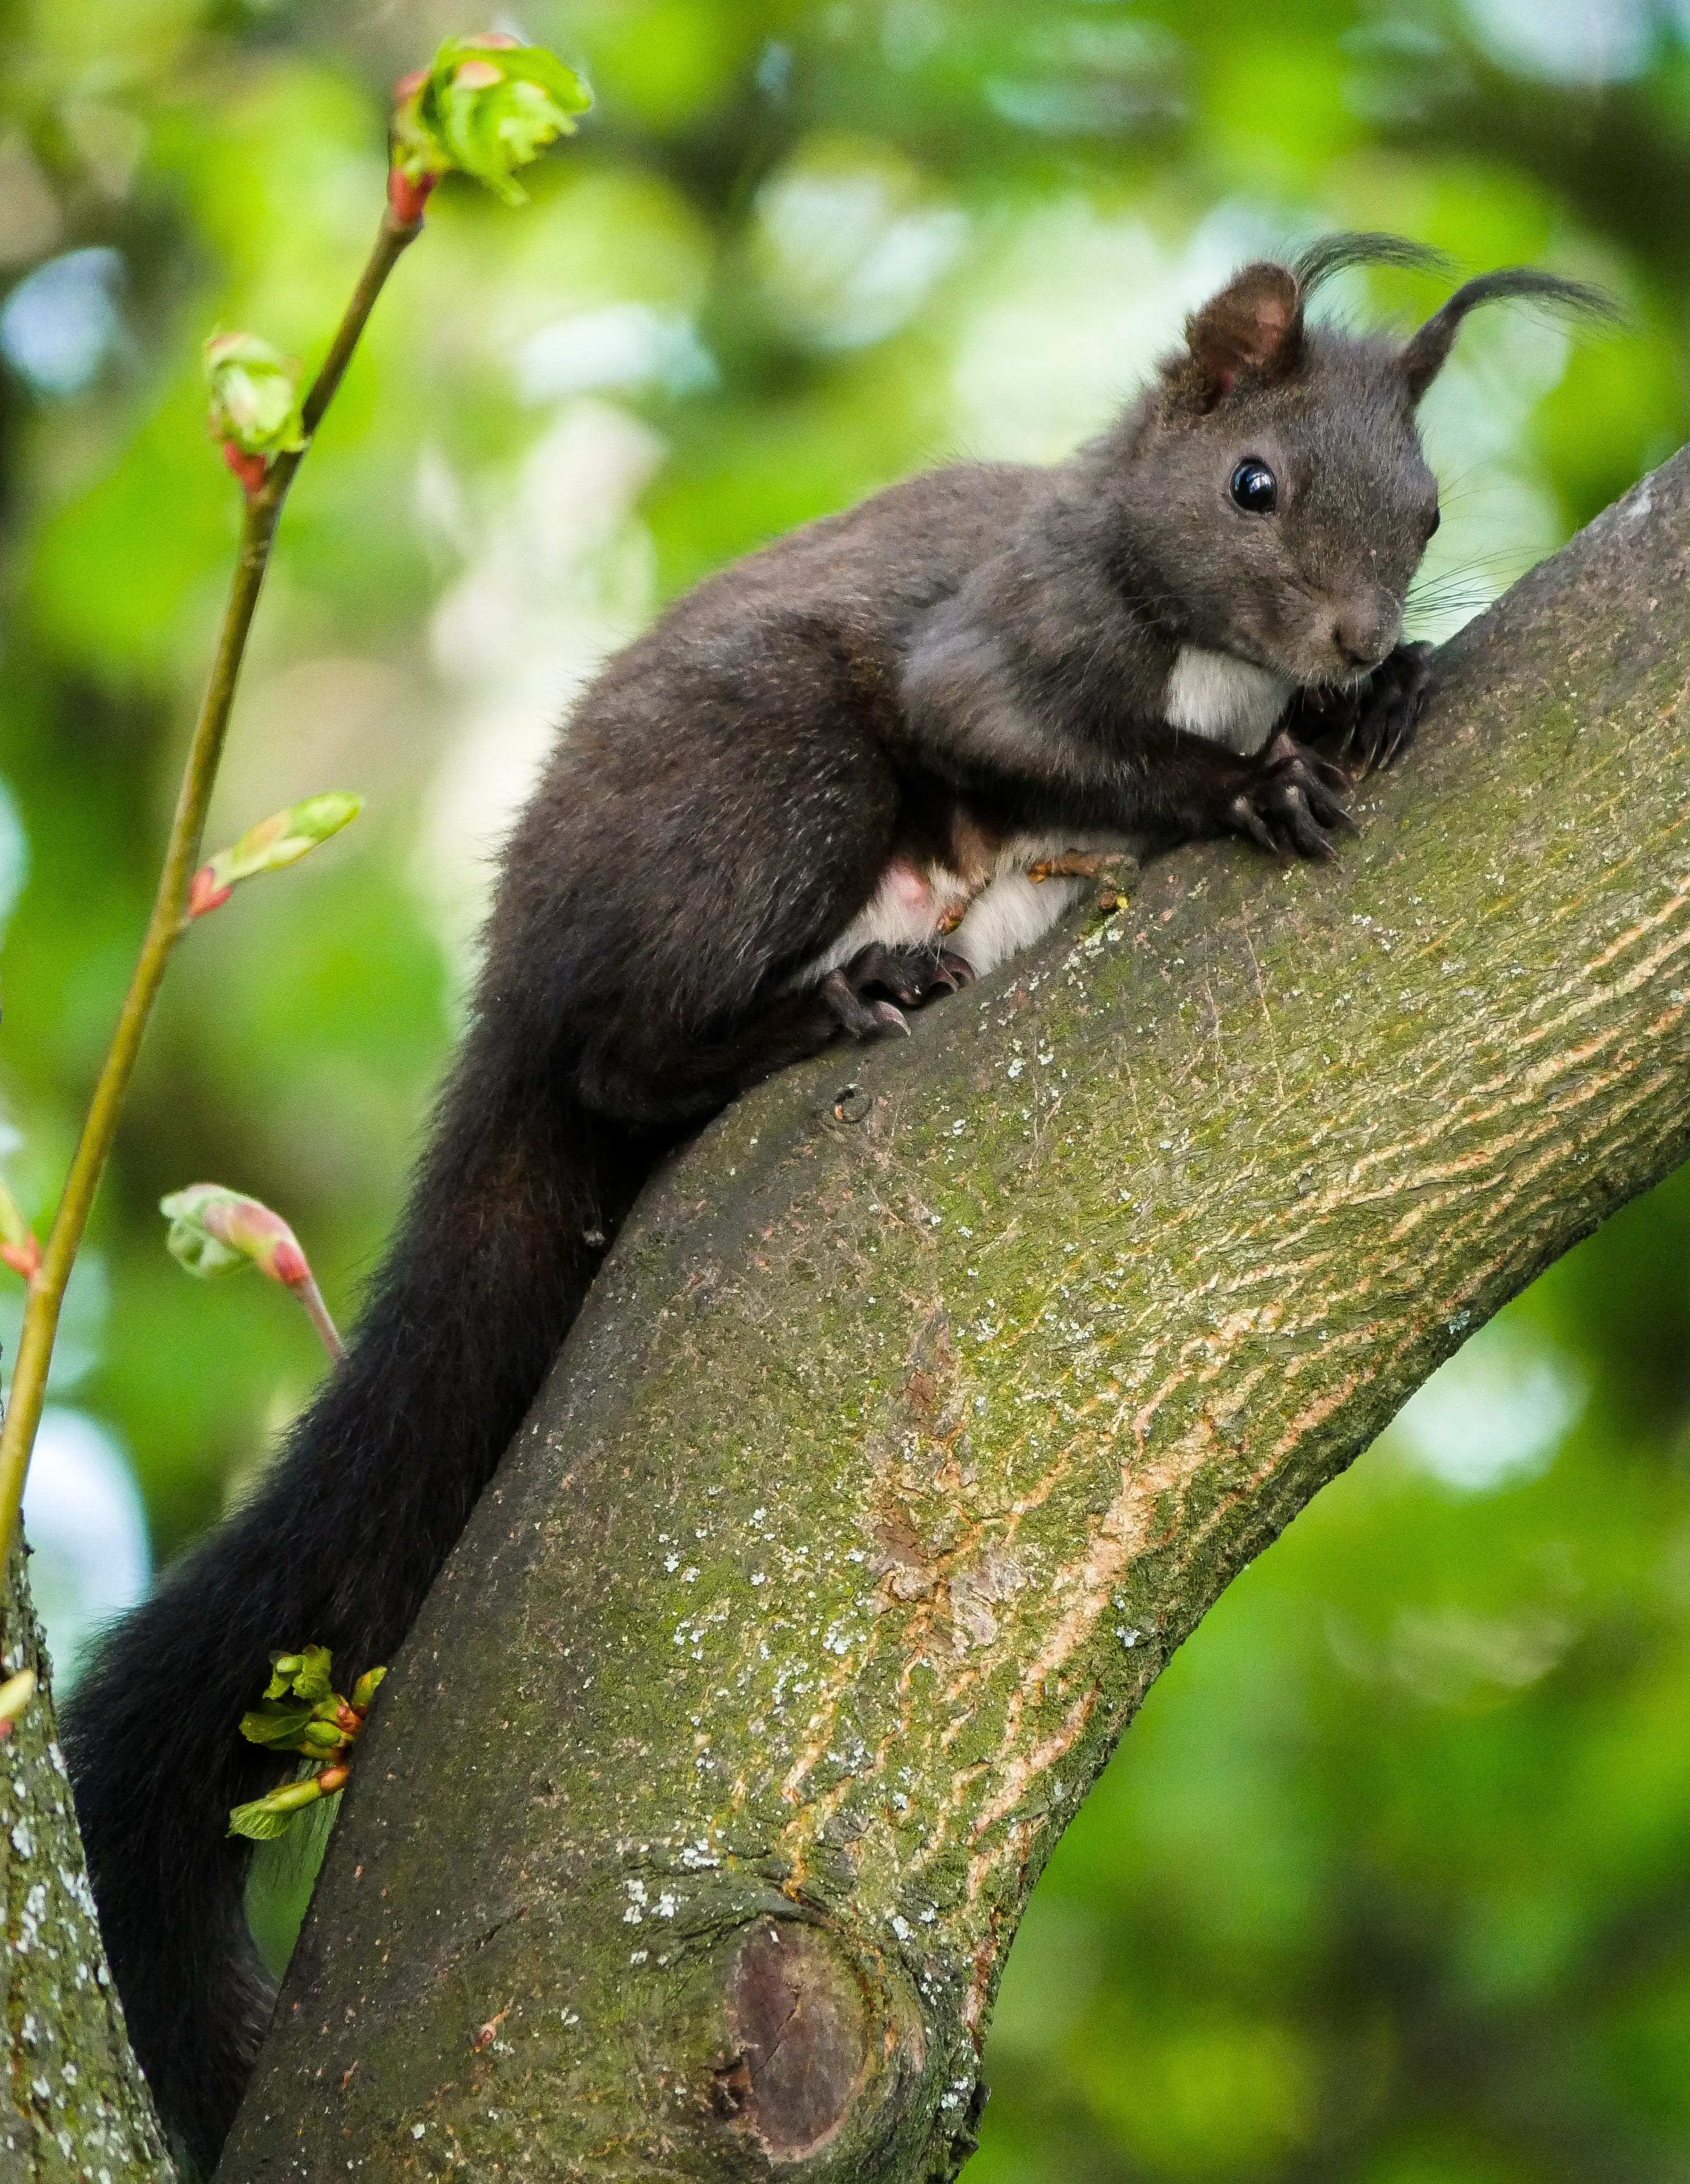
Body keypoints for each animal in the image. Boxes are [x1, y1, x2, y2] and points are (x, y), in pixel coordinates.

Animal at [61, 233, 1609, 2173]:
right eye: (1250, 483)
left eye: (1423, 511)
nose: (1337, 636)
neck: (1189, 629)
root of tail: (516, 964)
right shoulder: (999, 639)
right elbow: (1018, 726)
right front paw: (1254, 780)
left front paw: (1384, 688)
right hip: (776, 774)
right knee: (610, 1061)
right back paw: (817, 1008)